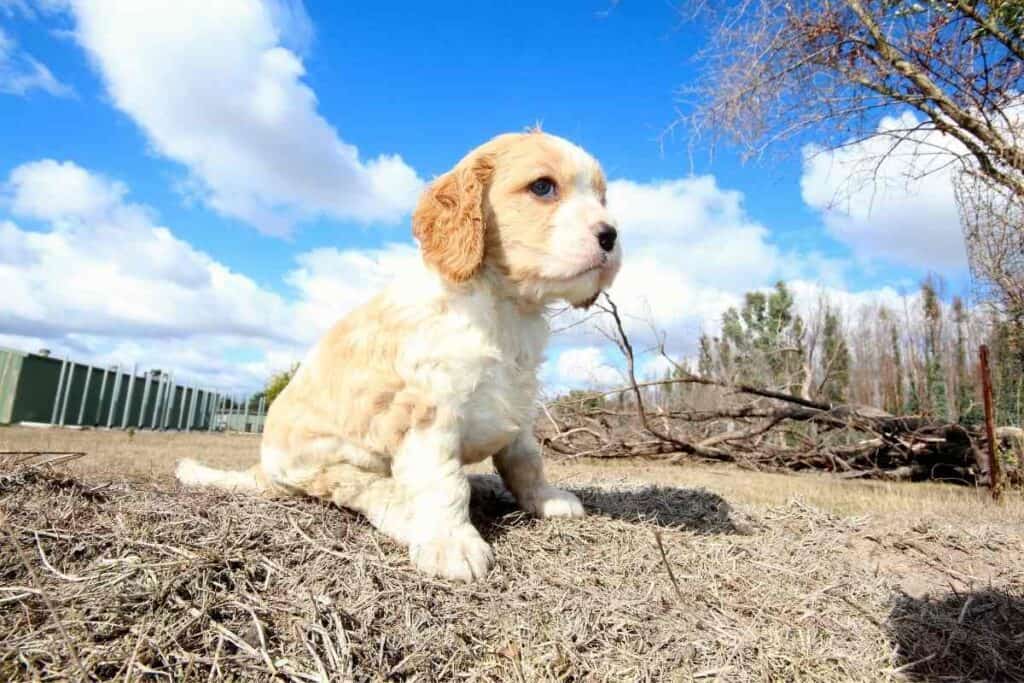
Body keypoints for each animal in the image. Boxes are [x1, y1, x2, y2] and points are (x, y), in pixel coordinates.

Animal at [177, 132, 618, 581]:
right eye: (543, 187)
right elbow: (444, 482)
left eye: (602, 197)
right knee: (362, 488)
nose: (611, 236)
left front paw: (544, 497)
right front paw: (451, 543)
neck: (504, 308)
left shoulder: (519, 401)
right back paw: (409, 514)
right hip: (324, 462)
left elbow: (526, 458)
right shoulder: (426, 413)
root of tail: (264, 467)